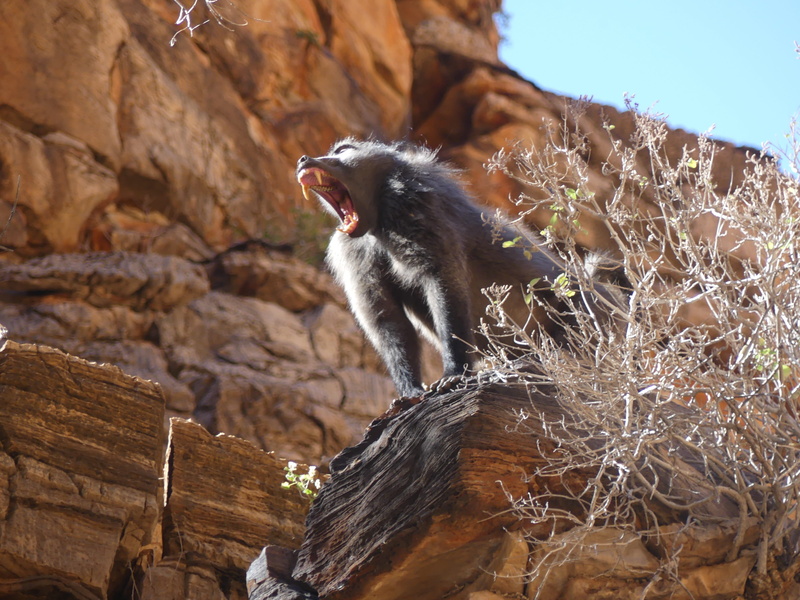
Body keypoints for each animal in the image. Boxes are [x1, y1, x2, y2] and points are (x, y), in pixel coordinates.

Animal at [296, 138, 624, 398]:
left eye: (343, 150)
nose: (304, 159)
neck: (377, 221)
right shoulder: (353, 248)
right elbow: (385, 315)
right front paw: (409, 392)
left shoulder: (414, 207)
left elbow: (443, 284)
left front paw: (454, 373)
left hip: (593, 316)